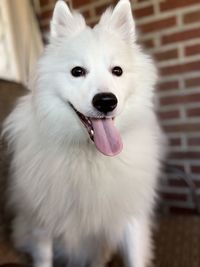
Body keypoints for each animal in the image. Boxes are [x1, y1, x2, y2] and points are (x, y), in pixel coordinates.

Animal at [3, 0, 165, 267]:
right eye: (77, 71)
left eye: (117, 71)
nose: (106, 101)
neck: (91, 157)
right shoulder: (43, 223)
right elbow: (44, 258)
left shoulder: (132, 216)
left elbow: (135, 257)